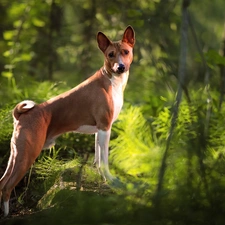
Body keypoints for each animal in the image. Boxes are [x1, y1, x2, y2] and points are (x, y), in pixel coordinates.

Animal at [0, 25, 135, 216]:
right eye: (111, 54)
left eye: (125, 52)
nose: (120, 67)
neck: (111, 81)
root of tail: (20, 115)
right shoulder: (105, 127)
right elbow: (104, 160)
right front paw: (110, 180)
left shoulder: (99, 130)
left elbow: (97, 159)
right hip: (27, 155)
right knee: (7, 187)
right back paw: (6, 214)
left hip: (15, 153)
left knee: (1, 183)